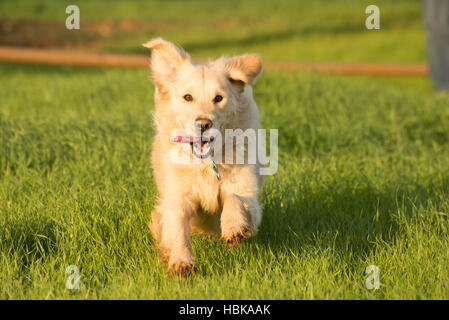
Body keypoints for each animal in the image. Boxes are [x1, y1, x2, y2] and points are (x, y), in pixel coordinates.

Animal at [143, 38, 262, 276]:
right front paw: (181, 261)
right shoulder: (178, 196)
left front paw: (234, 227)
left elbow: (235, 199)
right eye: (188, 97)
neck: (207, 162)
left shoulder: (249, 195)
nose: (203, 124)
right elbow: (178, 228)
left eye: (219, 98)